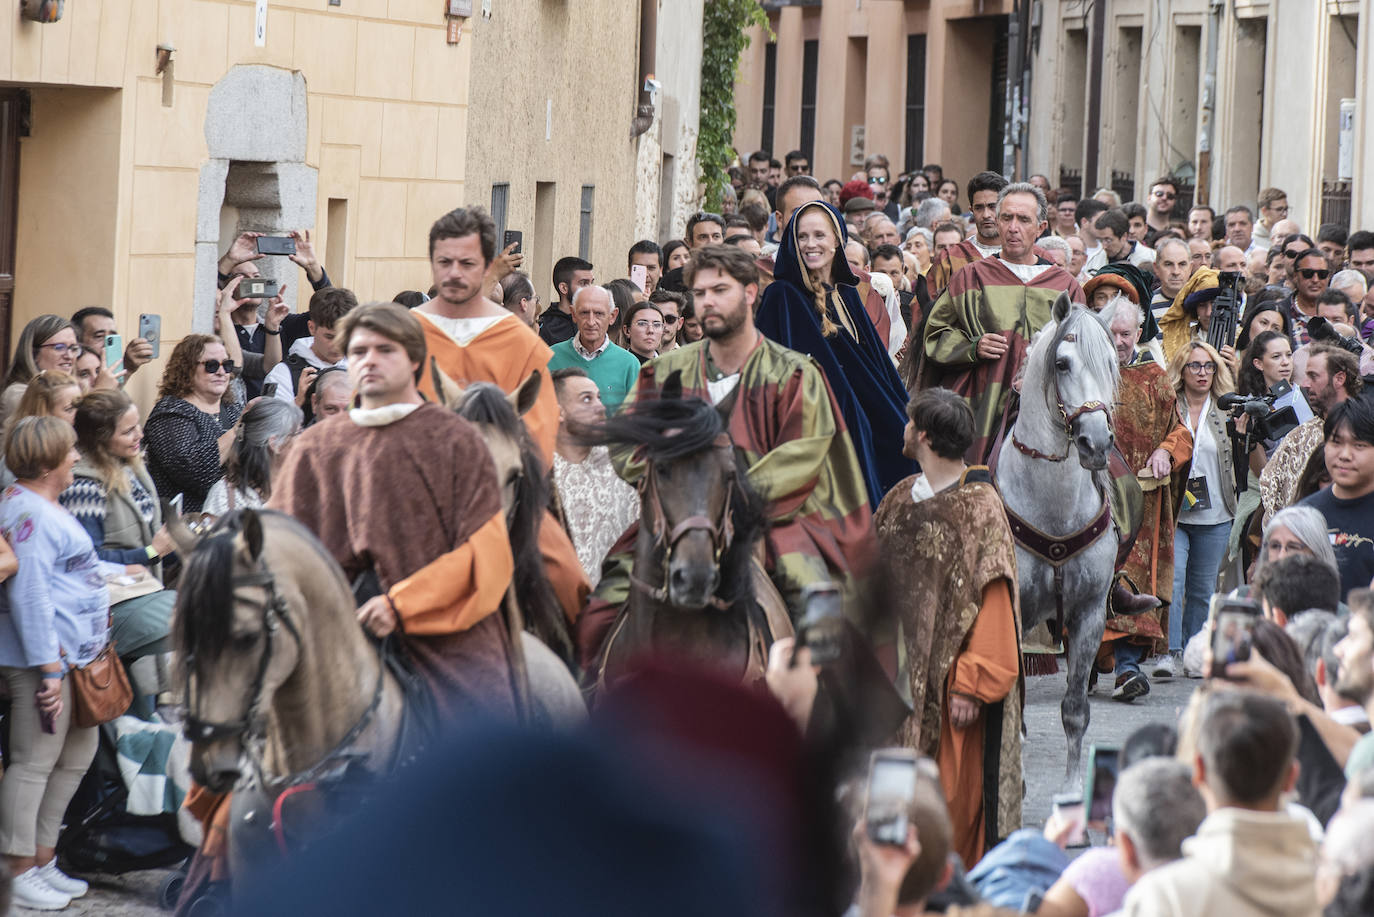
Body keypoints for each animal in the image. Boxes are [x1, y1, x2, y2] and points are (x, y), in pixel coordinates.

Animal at [1000, 292, 1126, 780]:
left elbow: (1075, 710)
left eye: (1113, 362)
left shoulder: (1089, 612)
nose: (1095, 443)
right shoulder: (1012, 612)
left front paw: (1073, 786)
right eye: (1062, 363)